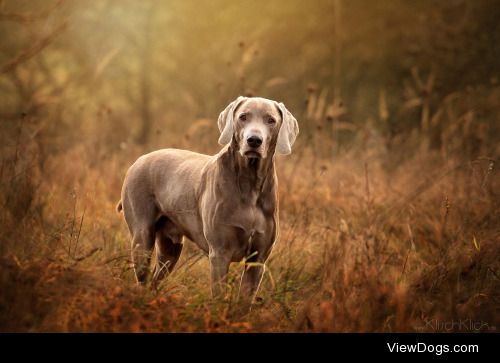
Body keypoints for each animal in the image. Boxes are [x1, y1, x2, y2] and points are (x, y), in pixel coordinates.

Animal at [115, 96, 298, 302]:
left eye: (271, 120)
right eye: (243, 117)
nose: (254, 140)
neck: (250, 183)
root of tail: (138, 161)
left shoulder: (257, 260)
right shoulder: (220, 254)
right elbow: (218, 296)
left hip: (170, 247)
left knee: (155, 280)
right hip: (142, 238)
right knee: (142, 279)